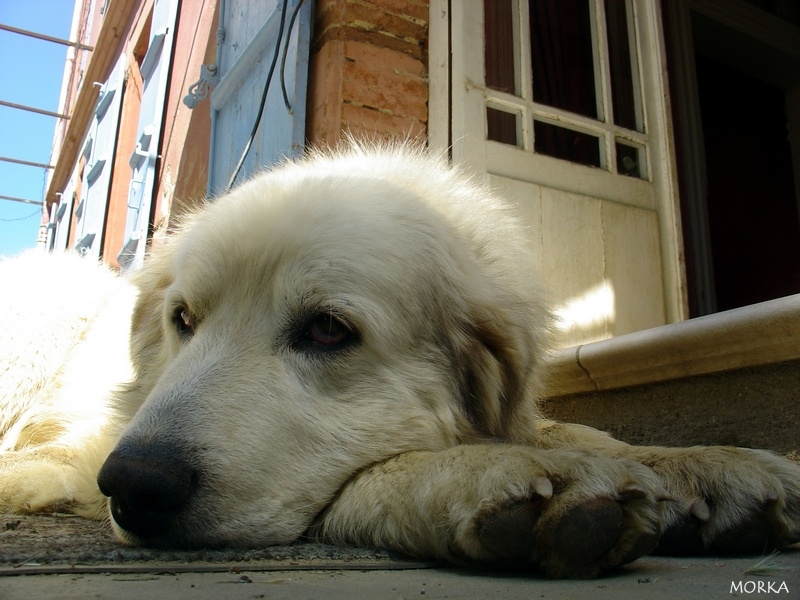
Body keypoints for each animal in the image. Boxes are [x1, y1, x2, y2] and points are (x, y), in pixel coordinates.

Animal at [1, 143, 800, 580]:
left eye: (328, 331)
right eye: (185, 322)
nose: (132, 484)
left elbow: (584, 433)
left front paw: (707, 464)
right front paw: (493, 477)